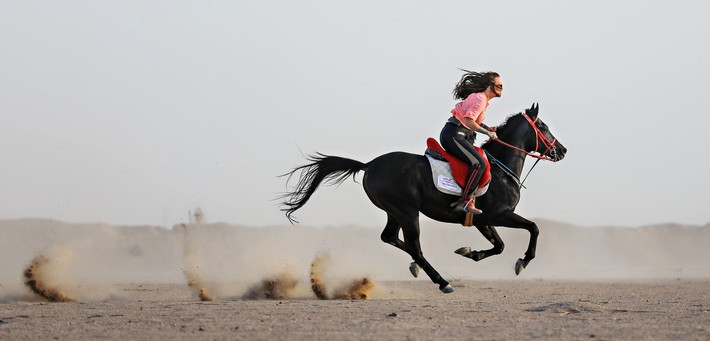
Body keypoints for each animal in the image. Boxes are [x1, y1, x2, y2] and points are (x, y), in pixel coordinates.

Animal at [280, 102, 572, 290]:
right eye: (543, 126)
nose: (562, 150)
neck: (501, 169)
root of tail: (369, 165)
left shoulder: (481, 220)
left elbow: (498, 245)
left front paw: (470, 253)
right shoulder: (499, 215)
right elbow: (533, 228)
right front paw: (523, 261)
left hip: (395, 211)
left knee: (391, 238)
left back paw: (417, 267)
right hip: (408, 212)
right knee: (415, 247)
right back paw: (442, 281)